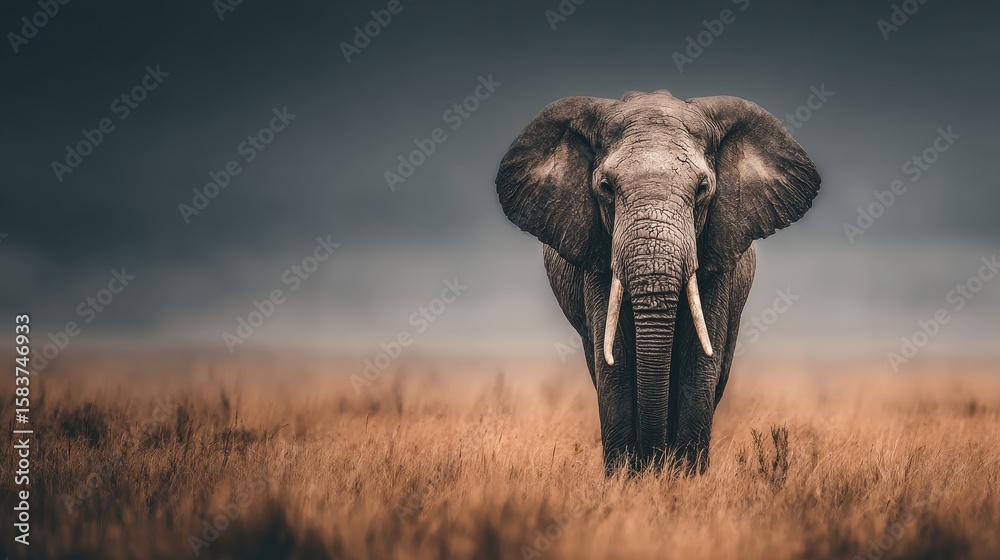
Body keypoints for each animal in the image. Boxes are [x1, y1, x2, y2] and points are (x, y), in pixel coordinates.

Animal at [494, 90, 820, 474]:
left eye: (703, 188)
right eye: (605, 187)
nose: (654, 461)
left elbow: (699, 358)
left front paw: (685, 477)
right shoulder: (598, 256)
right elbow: (614, 361)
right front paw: (625, 477)